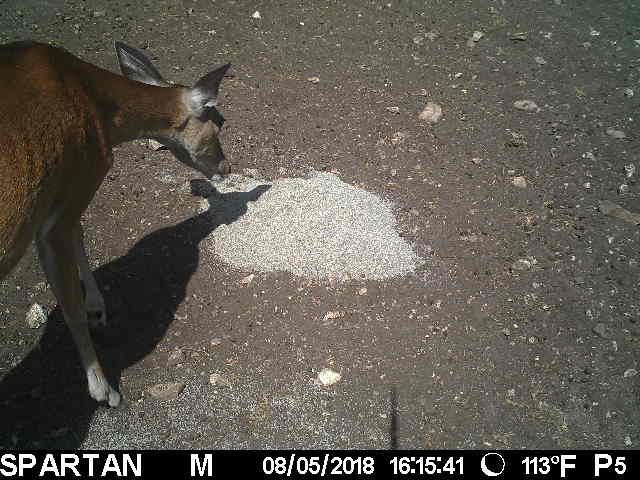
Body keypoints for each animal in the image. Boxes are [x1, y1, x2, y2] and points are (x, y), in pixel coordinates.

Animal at [0, 41, 232, 406]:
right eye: (219, 123)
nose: (227, 167)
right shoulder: (77, 183)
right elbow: (70, 302)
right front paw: (103, 388)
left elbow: (79, 234)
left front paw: (98, 308)